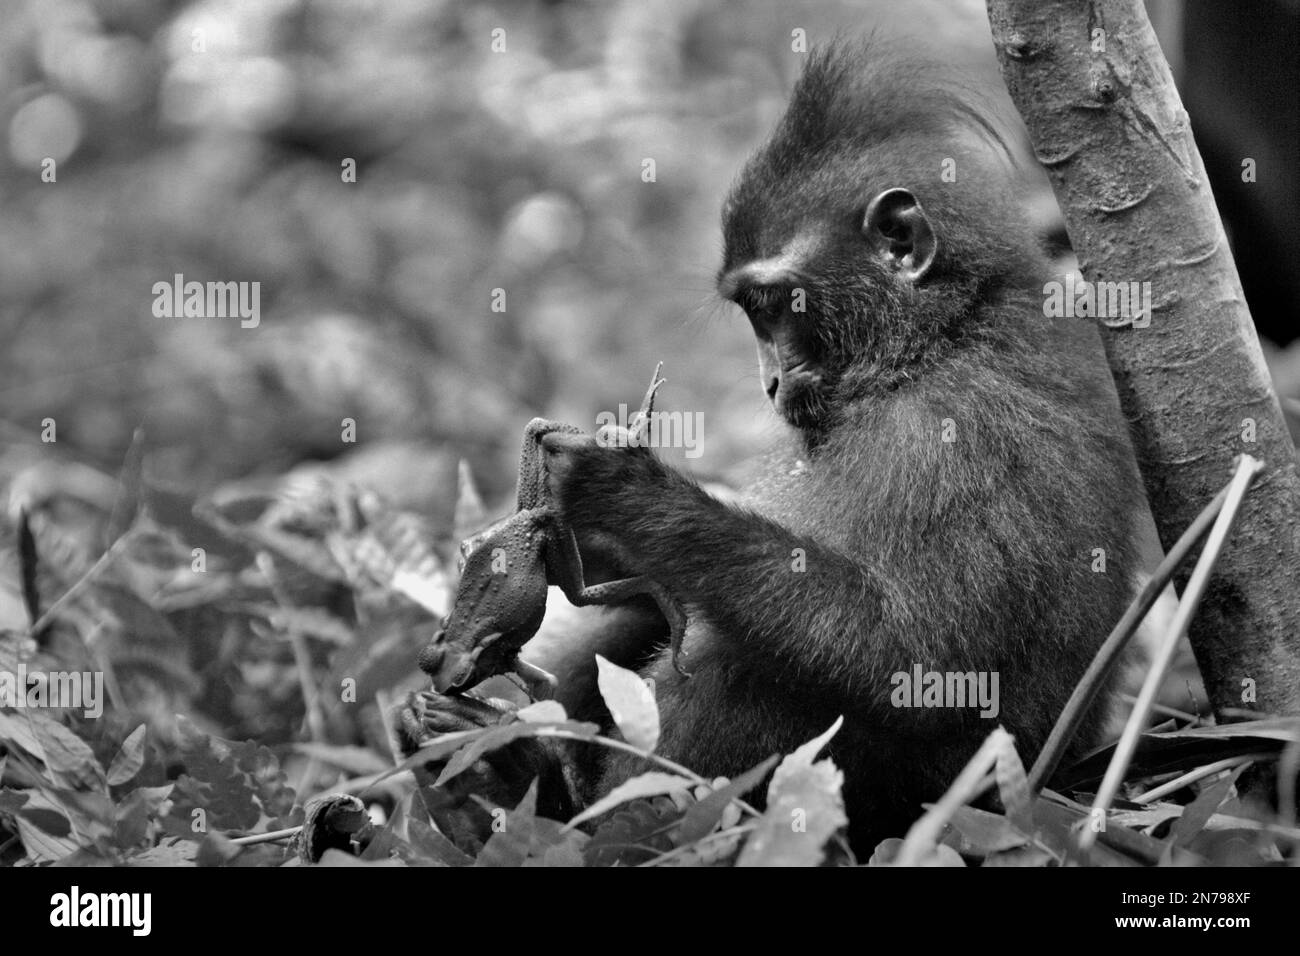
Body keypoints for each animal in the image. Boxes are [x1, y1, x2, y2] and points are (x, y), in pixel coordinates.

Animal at [404, 39, 1148, 854]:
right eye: (750, 314)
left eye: (772, 305)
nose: (769, 381)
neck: (944, 336)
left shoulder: (957, 428)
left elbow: (922, 666)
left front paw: (629, 494)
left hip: (938, 804)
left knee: (744, 663)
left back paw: (553, 811)